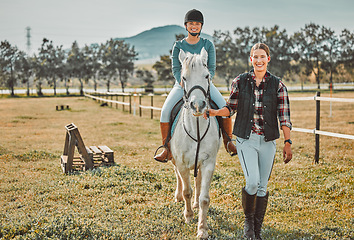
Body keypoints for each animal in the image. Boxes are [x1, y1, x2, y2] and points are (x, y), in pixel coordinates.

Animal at [169, 47, 221, 239]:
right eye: (184, 77)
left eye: (207, 76)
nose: (198, 105)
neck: (196, 129)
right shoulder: (182, 163)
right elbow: (187, 191)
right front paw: (189, 216)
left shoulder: (208, 163)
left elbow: (204, 198)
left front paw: (202, 229)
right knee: (178, 176)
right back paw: (178, 197)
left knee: (198, 183)